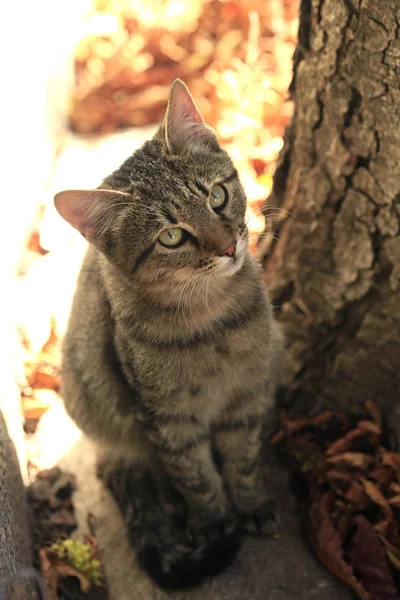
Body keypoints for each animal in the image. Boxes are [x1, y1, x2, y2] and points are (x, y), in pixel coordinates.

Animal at [54, 77, 284, 588]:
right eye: (171, 237)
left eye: (217, 196)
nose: (229, 246)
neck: (213, 322)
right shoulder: (167, 420)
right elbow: (196, 477)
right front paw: (216, 523)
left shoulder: (247, 395)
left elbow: (243, 459)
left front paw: (251, 504)